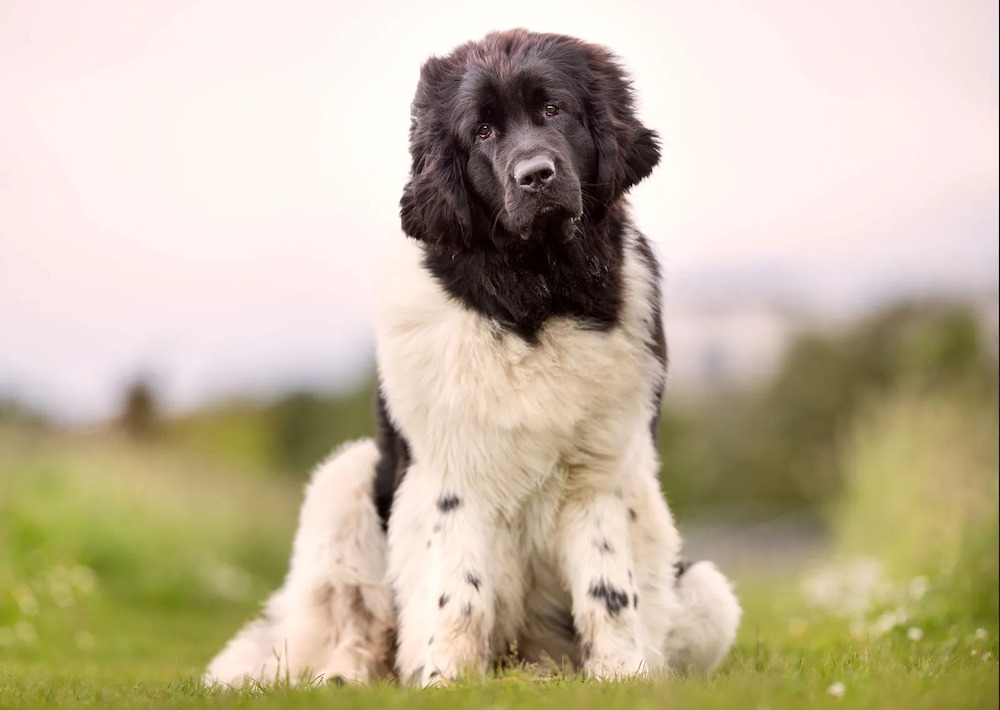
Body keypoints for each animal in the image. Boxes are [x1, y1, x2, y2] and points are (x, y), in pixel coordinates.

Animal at [203, 29, 740, 688]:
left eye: (553, 109)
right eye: (482, 131)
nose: (536, 175)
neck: (534, 297)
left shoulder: (602, 470)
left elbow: (609, 587)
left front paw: (622, 676)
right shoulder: (450, 469)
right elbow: (456, 590)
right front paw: (445, 680)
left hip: (707, 592)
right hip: (345, 478)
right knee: (349, 622)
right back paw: (343, 680)